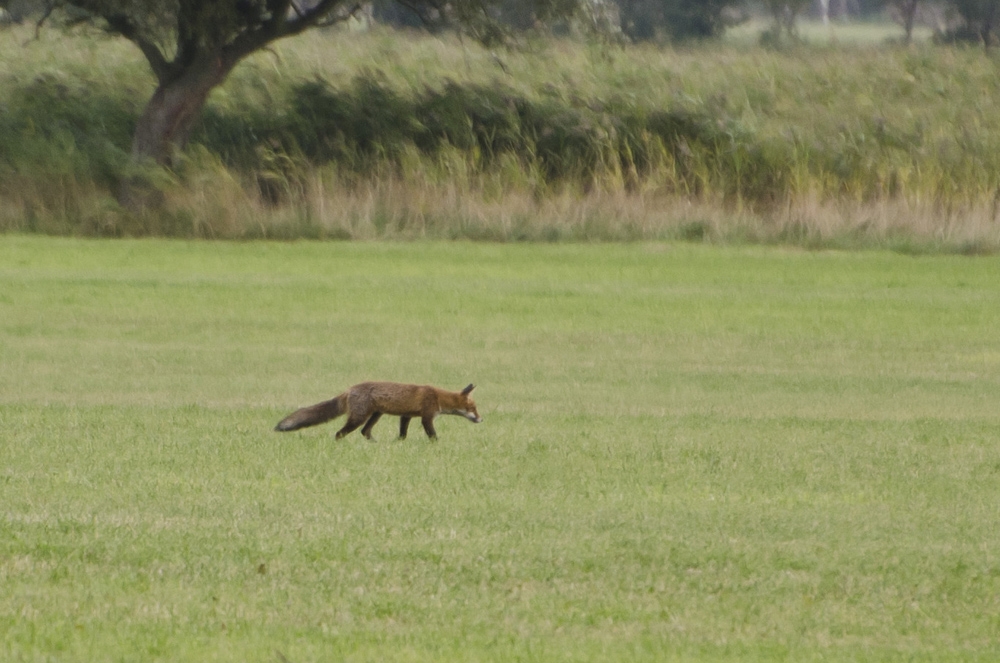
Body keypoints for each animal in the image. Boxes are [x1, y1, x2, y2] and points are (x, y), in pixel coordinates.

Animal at [276, 384, 482, 440]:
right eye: (473, 409)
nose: (481, 419)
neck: (438, 397)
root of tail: (349, 389)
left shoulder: (406, 415)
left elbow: (403, 433)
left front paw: (399, 442)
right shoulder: (426, 417)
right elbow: (432, 434)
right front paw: (436, 443)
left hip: (375, 415)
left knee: (364, 432)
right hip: (359, 417)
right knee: (339, 433)